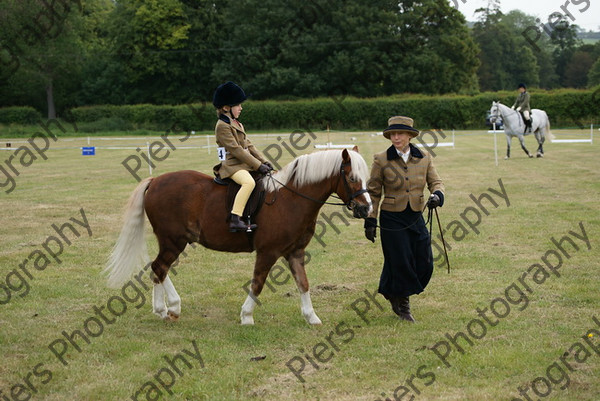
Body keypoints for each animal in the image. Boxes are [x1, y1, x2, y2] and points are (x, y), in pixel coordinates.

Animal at [105, 148, 372, 324]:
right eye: (351, 178)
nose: (366, 209)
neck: (291, 198)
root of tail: (155, 180)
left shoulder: (295, 252)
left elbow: (303, 283)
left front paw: (311, 317)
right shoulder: (268, 252)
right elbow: (258, 283)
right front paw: (246, 316)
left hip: (174, 242)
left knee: (159, 268)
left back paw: (169, 308)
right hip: (173, 241)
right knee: (159, 267)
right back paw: (166, 309)